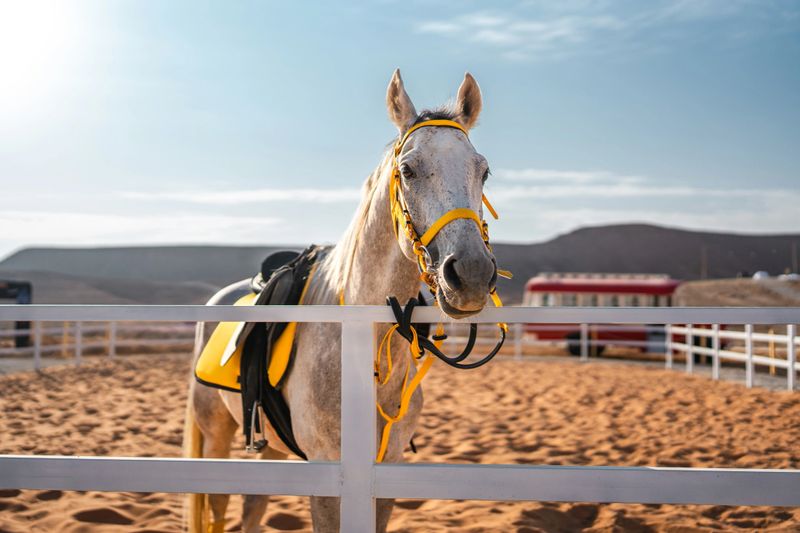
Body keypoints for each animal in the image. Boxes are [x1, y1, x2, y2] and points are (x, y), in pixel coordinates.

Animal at [183, 69, 499, 532]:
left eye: (484, 172)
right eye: (408, 170)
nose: (473, 274)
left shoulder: (387, 470)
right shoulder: (327, 475)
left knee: (253, 507)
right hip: (215, 433)